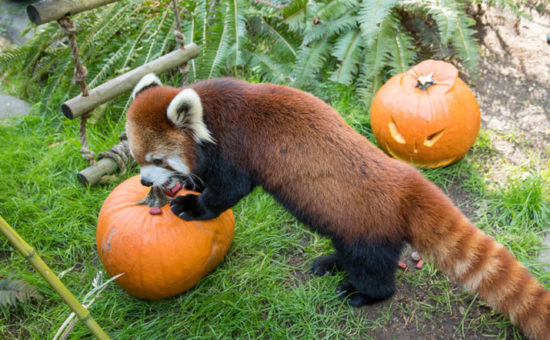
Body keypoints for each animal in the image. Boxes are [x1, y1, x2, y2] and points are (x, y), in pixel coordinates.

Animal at [127, 73, 550, 338]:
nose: (146, 182)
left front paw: (191, 206)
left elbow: (227, 192)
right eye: (136, 158)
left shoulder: (235, 149)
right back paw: (330, 263)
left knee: (373, 269)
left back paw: (361, 292)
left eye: (159, 160)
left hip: (367, 230)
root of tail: (408, 184)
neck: (210, 116)